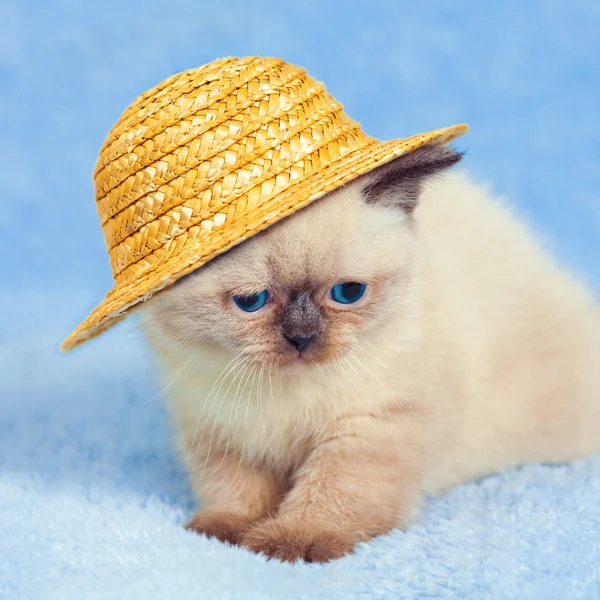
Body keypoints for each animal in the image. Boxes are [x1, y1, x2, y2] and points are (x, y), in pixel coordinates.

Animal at [141, 145, 600, 564]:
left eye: (348, 293)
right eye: (252, 301)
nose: (303, 338)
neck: (284, 396)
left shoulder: (370, 428)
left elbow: (332, 492)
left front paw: (291, 541)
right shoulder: (219, 431)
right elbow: (235, 490)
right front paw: (224, 531)